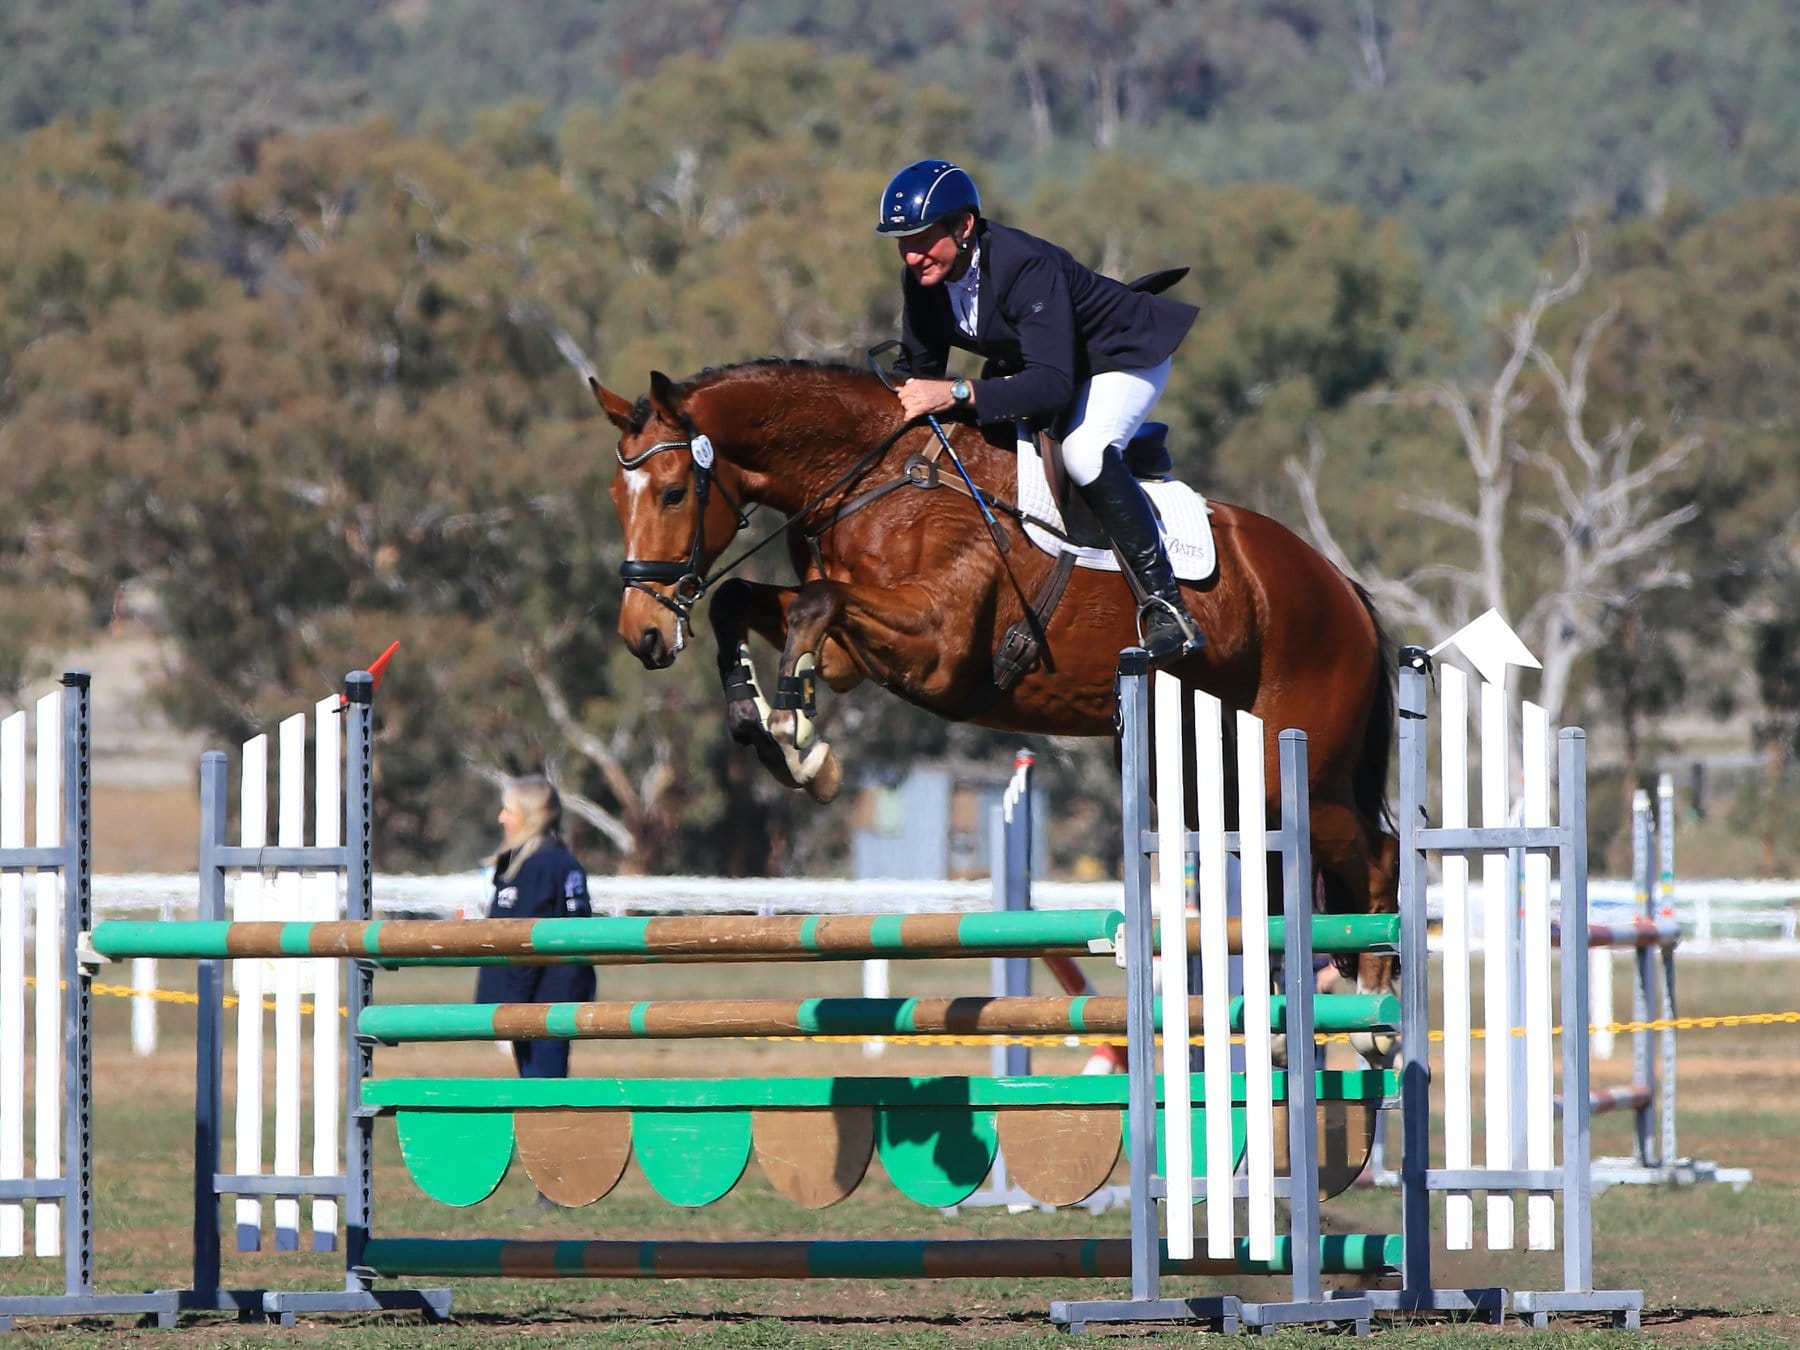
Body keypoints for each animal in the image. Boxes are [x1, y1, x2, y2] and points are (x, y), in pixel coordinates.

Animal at [597, 360, 1396, 1022]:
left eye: (673, 492)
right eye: (615, 497)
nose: (642, 635)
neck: (872, 479)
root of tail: (1343, 587)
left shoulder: (937, 647)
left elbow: (814, 605)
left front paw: (797, 734)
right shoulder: (857, 652)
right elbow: (745, 600)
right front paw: (764, 726)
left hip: (1295, 775)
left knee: (1378, 854)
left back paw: (1376, 1006)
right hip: (1219, 779)